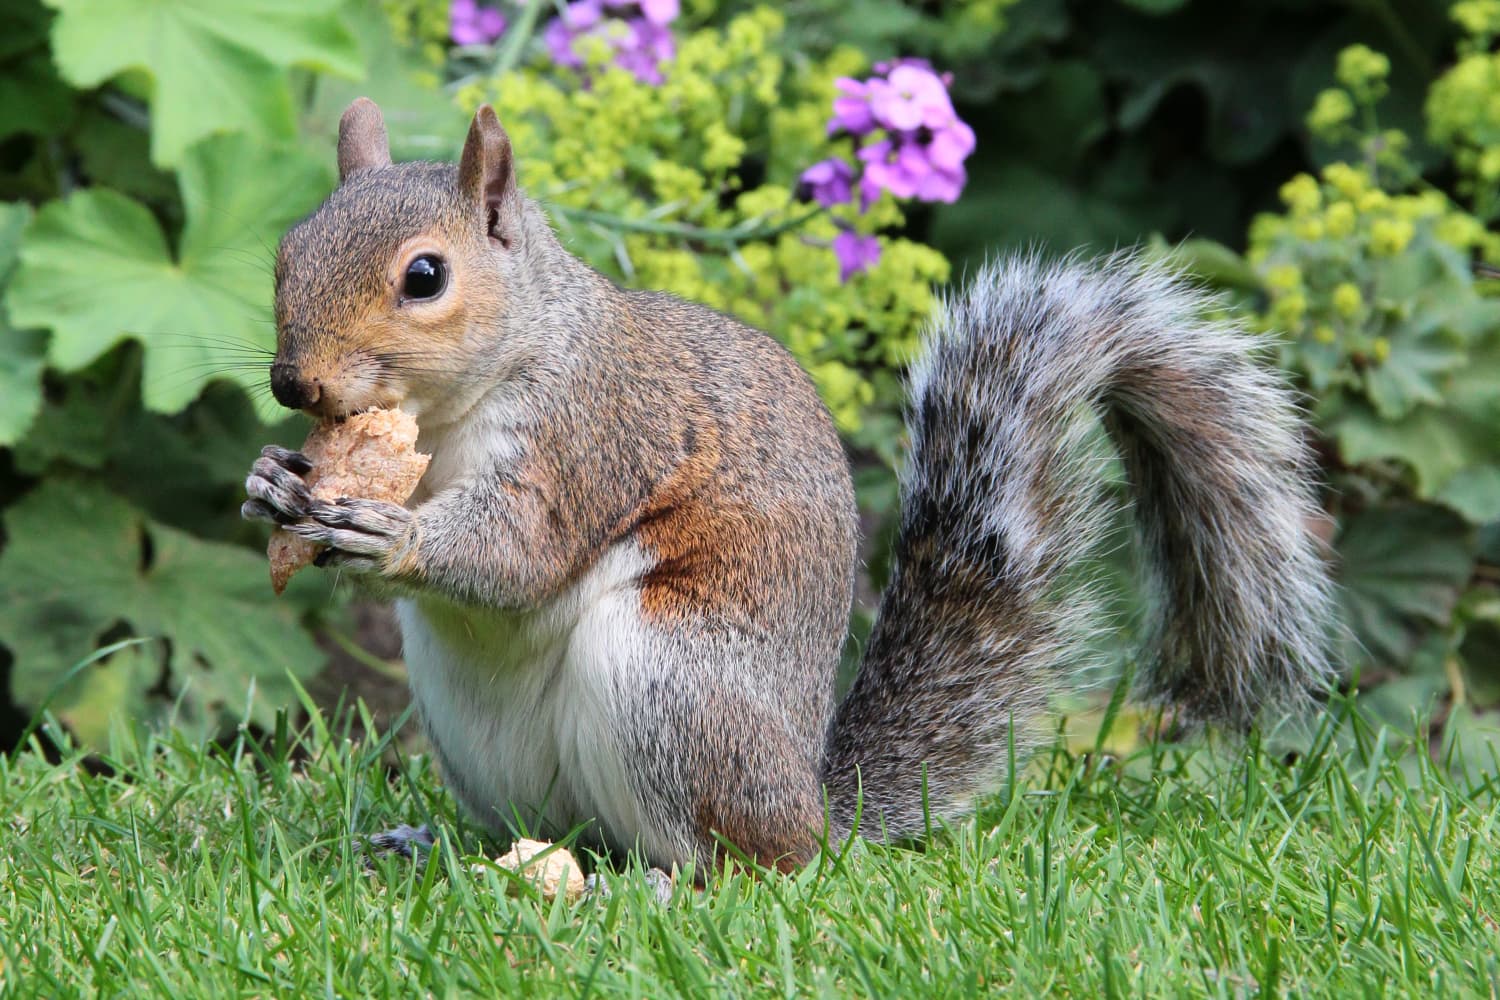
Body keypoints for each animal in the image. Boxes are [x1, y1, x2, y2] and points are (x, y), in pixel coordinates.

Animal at [243, 98, 1335, 875]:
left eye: (425, 276)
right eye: (285, 253)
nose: (293, 385)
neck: (449, 415)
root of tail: (814, 807)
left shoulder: (592, 435)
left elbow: (520, 551)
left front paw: (389, 533)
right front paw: (272, 481)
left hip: (672, 684)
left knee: (741, 864)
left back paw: (663, 885)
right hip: (477, 732)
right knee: (564, 831)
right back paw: (443, 849)